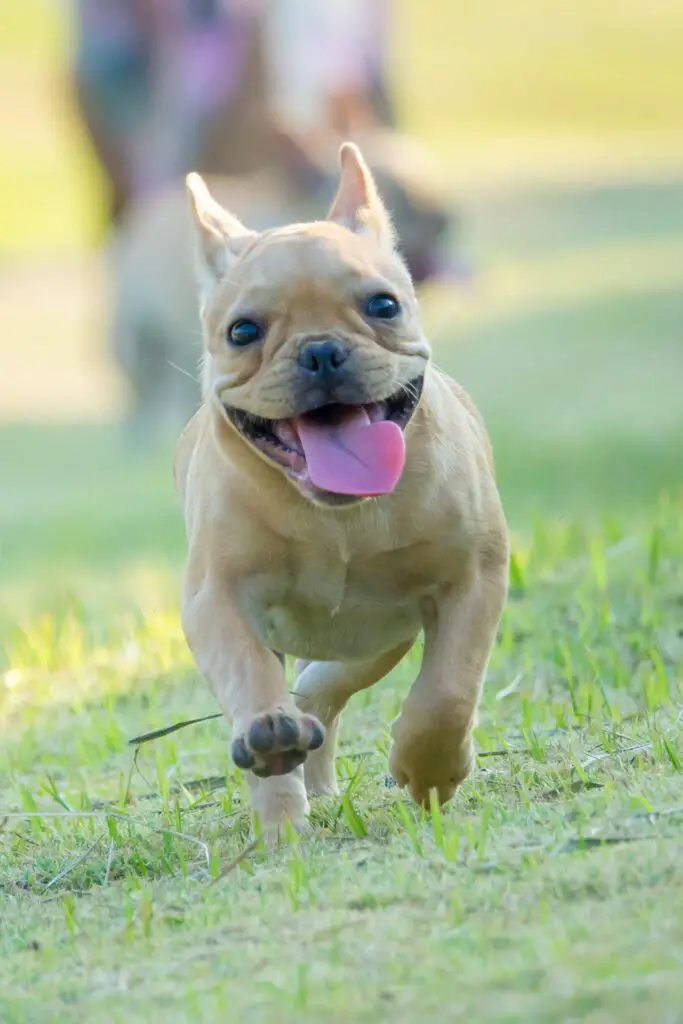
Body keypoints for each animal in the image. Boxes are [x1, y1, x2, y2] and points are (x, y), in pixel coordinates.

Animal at [174, 144, 509, 831]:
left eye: (384, 306)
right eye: (242, 332)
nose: (321, 351)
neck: (338, 518)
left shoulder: (473, 580)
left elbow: (448, 689)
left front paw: (431, 769)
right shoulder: (215, 597)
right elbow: (247, 668)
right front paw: (269, 739)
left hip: (374, 640)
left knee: (323, 689)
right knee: (296, 700)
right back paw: (283, 800)